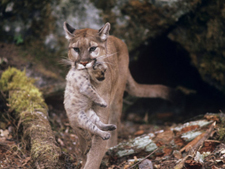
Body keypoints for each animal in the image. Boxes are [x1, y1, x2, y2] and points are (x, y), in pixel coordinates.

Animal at [63, 21, 178, 168]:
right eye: (76, 49)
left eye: (93, 48)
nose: (84, 62)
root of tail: (117, 39)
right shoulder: (74, 117)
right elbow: (85, 144)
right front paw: (84, 157)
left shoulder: (100, 113)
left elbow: (95, 151)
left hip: (117, 98)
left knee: (113, 124)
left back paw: (110, 145)